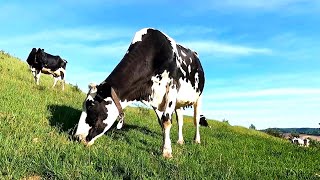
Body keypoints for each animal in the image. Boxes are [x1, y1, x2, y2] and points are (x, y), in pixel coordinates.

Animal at [74, 27, 205, 158]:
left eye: (91, 107)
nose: (77, 137)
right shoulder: (155, 97)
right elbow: (162, 122)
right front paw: (165, 144)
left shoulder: (171, 87)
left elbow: (166, 120)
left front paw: (167, 151)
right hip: (178, 103)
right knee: (180, 121)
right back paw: (180, 140)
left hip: (198, 98)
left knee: (196, 120)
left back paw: (197, 140)